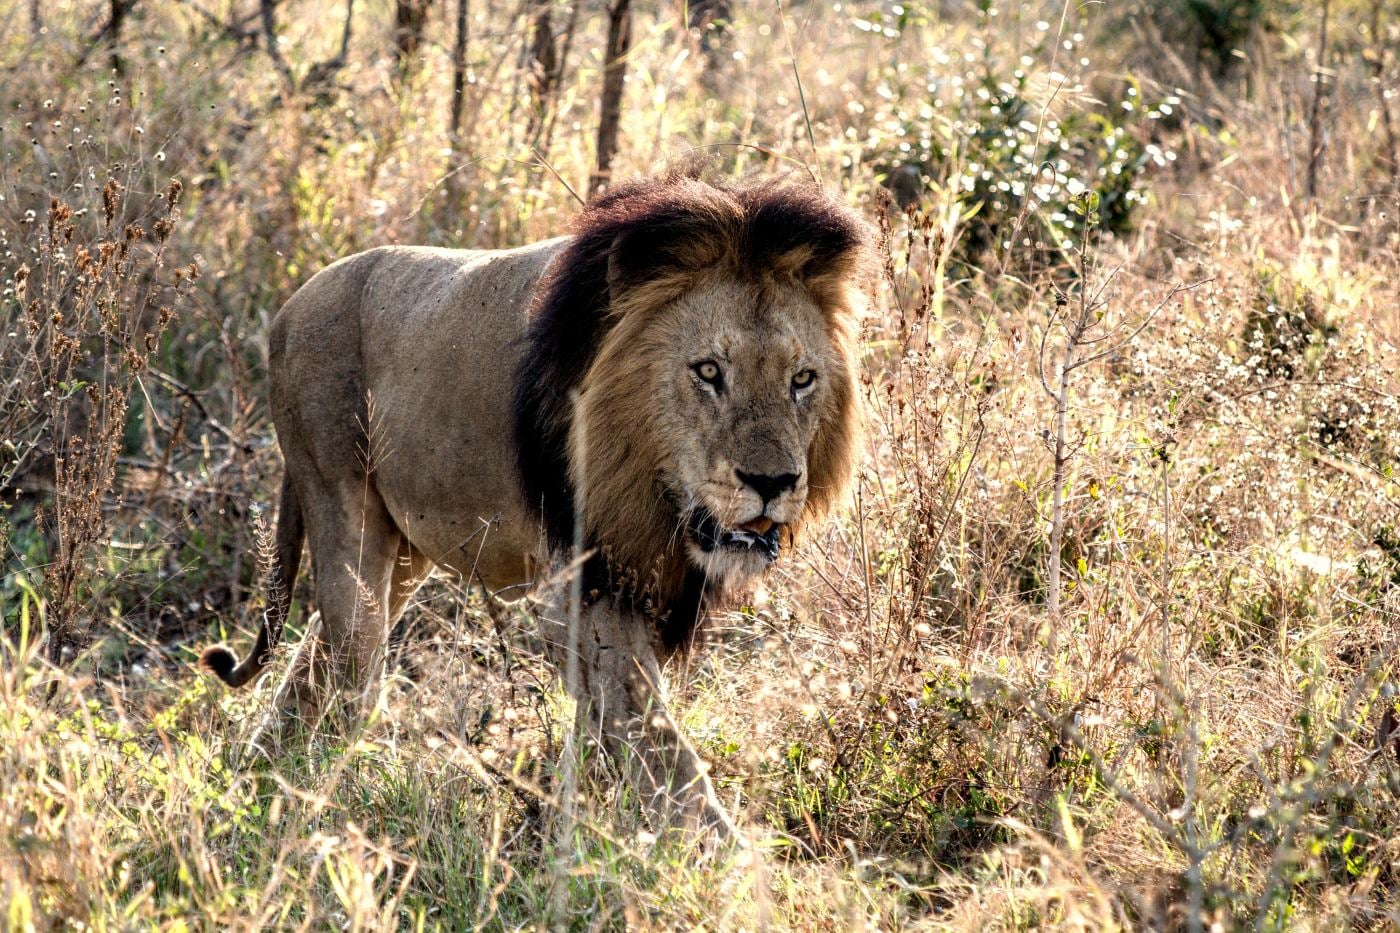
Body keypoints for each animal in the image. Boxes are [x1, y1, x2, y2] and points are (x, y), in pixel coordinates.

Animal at [200, 171, 872, 838]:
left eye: (802, 380)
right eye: (708, 371)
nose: (773, 481)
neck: (655, 495)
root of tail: (291, 306)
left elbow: (609, 727)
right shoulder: (582, 581)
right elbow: (651, 731)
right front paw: (721, 852)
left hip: (406, 549)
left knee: (312, 670)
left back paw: (256, 786)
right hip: (340, 501)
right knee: (351, 674)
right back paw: (304, 809)